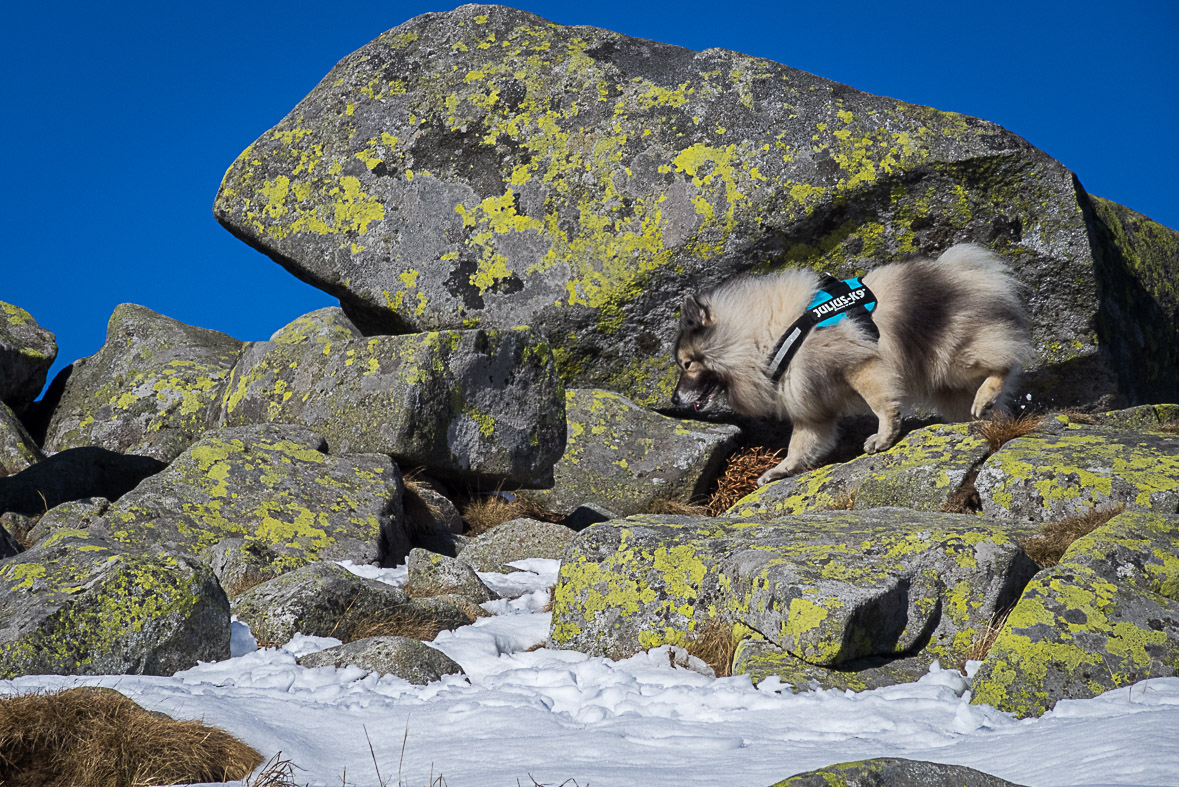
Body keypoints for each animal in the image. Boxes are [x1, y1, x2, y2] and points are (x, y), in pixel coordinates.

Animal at [674, 242, 1032, 485]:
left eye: (687, 364)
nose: (675, 400)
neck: (767, 337)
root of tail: (971, 273)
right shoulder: (812, 409)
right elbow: (799, 445)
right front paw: (780, 470)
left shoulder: (860, 367)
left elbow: (881, 405)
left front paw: (883, 437)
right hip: (949, 386)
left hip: (955, 357)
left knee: (1004, 361)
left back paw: (987, 394)